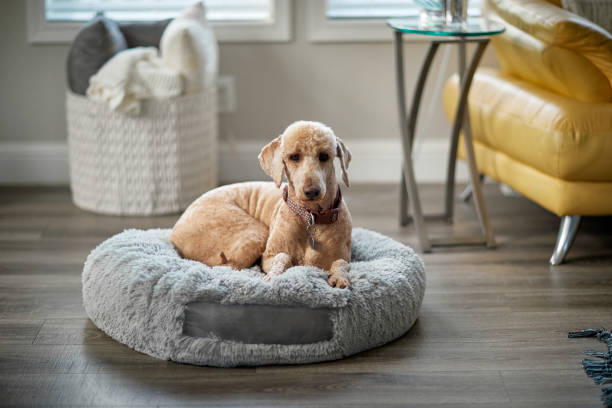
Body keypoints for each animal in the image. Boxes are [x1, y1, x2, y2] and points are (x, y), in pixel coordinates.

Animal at [171, 119, 354, 288]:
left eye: (324, 156)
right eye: (294, 157)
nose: (312, 191)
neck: (311, 216)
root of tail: (174, 231)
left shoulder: (342, 256)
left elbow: (341, 263)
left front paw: (339, 278)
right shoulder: (268, 257)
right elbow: (283, 258)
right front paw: (273, 276)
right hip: (254, 232)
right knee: (227, 266)